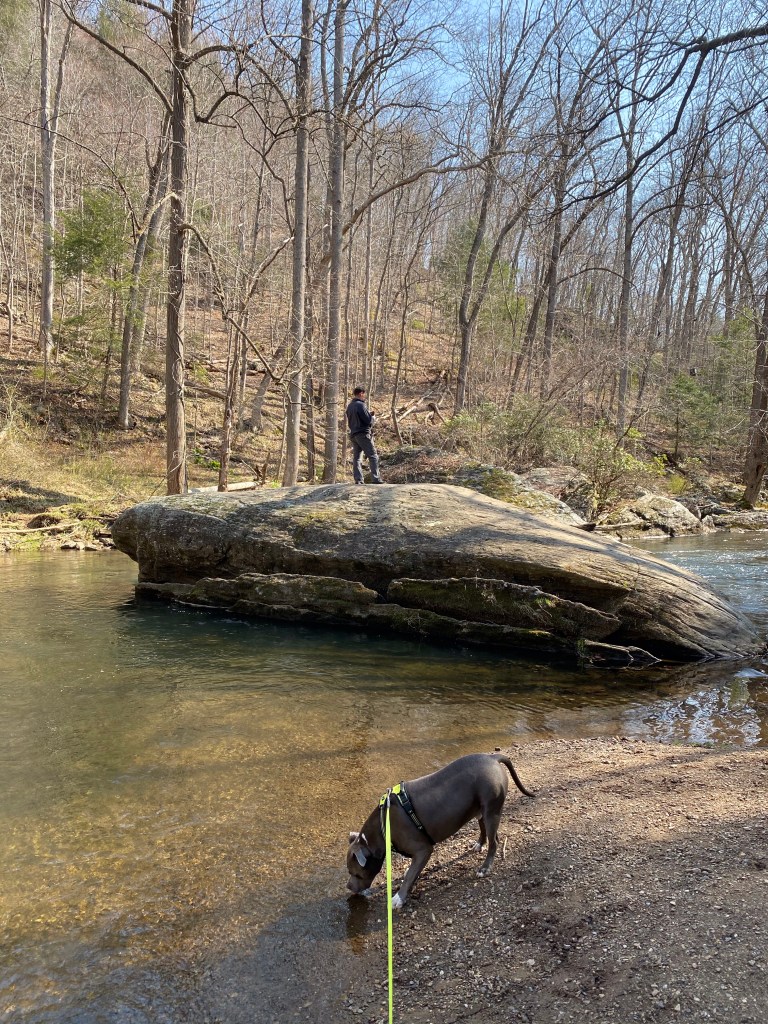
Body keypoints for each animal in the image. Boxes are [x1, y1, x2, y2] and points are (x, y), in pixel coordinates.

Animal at [346, 752, 534, 908]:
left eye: (355, 873)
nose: (348, 886)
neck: (381, 828)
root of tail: (492, 758)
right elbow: (412, 871)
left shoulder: (423, 850)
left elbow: (409, 876)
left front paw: (398, 898)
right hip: (479, 809)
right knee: (484, 830)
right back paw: (479, 844)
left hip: (491, 810)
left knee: (494, 840)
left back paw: (485, 868)